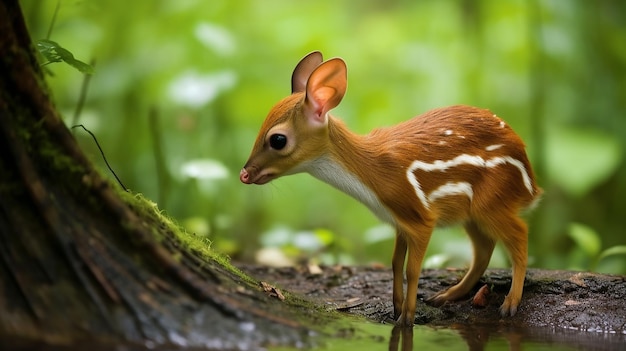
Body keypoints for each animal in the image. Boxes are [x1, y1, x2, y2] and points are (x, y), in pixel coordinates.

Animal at [238, 51, 536, 328]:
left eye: (277, 139)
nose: (244, 174)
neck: (373, 181)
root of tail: (532, 183)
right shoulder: (400, 221)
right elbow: (395, 263)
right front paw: (396, 309)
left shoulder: (421, 216)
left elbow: (413, 270)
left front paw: (407, 319)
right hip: (472, 213)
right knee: (485, 247)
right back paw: (448, 294)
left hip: (492, 200)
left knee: (520, 235)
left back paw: (510, 302)